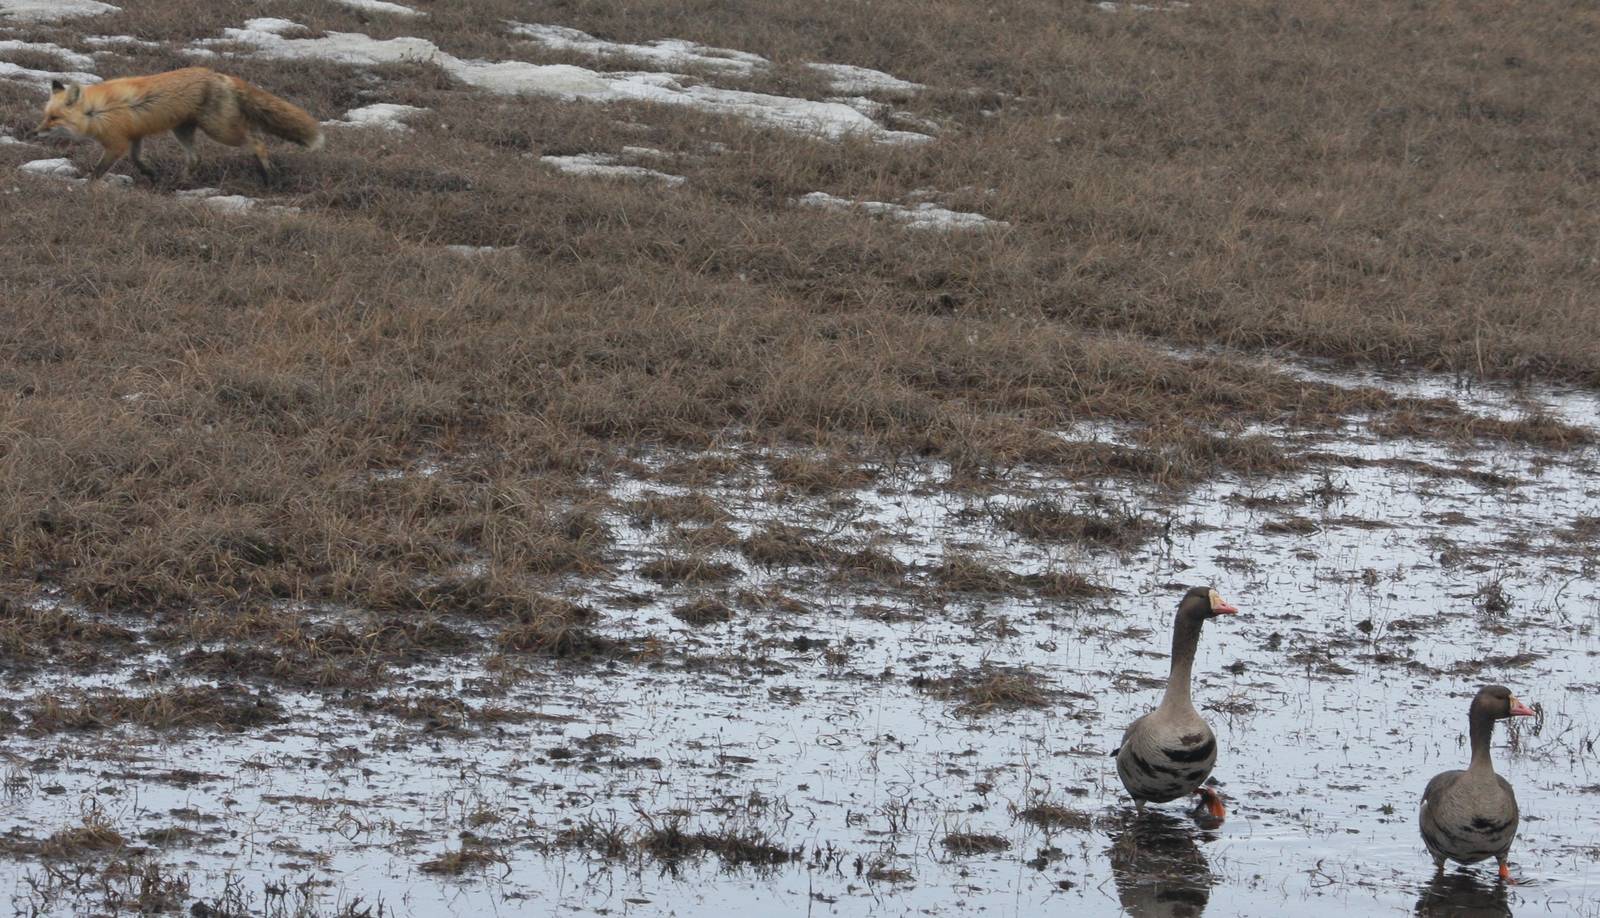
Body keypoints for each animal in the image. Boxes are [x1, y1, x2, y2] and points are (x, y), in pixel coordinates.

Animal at [35, 67, 323, 183]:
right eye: (45, 115)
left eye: (54, 118)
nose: (35, 132)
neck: (96, 112)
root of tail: (219, 75)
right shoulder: (135, 136)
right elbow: (138, 160)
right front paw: (152, 175)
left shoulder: (116, 144)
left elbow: (98, 171)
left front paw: (88, 187)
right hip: (182, 130)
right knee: (196, 158)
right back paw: (180, 182)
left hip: (220, 130)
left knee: (257, 140)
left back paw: (268, 174)